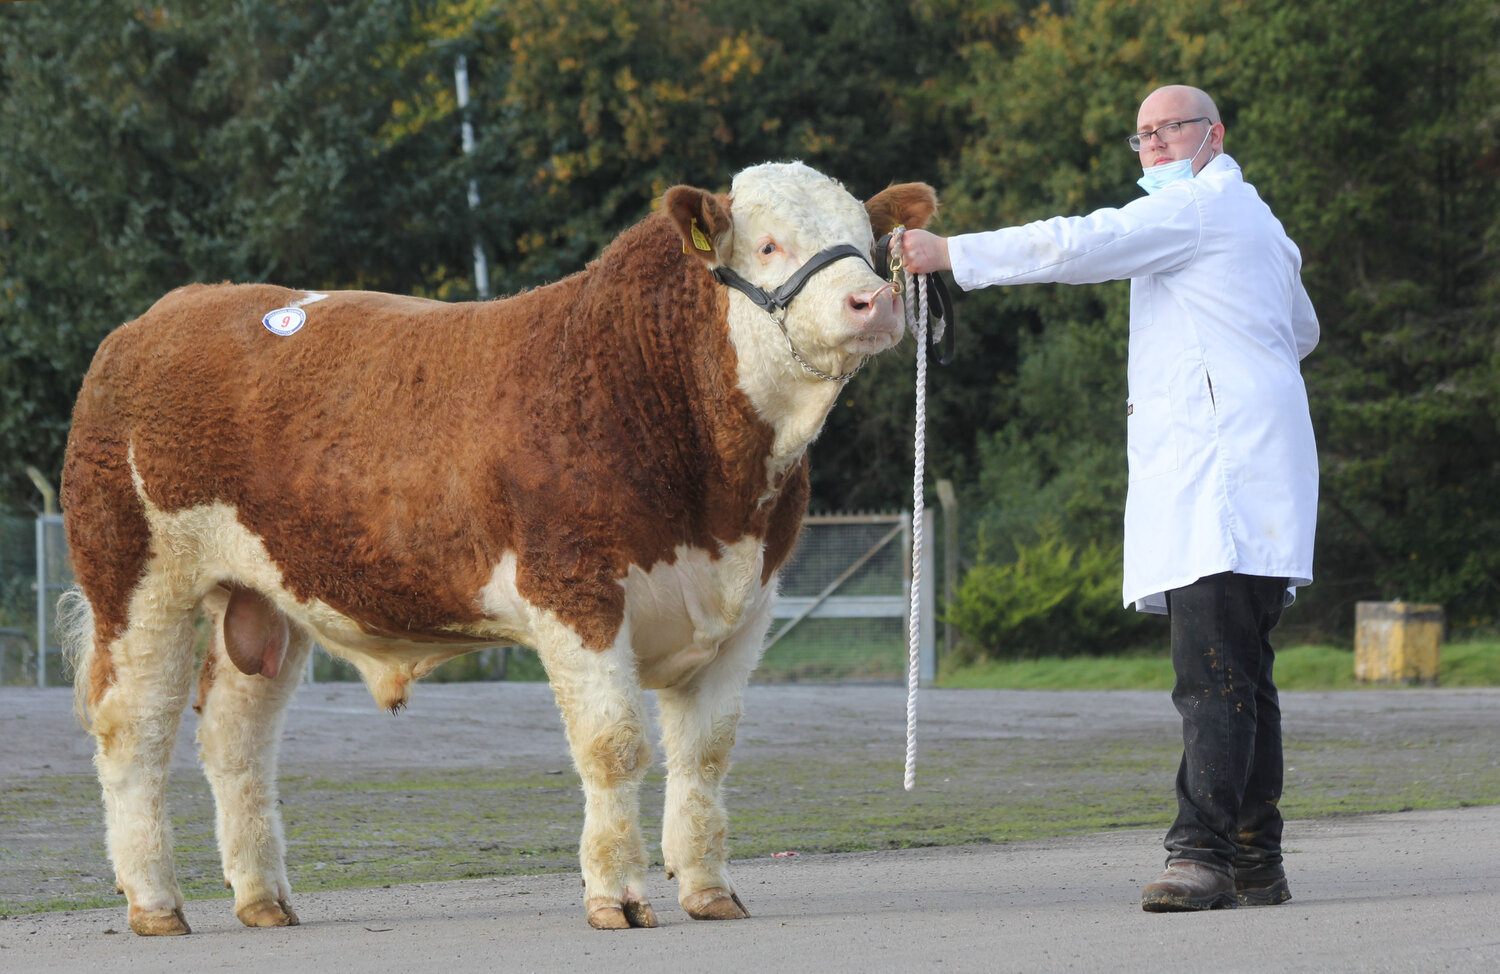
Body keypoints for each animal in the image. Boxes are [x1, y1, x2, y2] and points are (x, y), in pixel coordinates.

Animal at [61, 161, 936, 936]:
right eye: (768, 245)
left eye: (867, 237)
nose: (875, 299)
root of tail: (159, 318)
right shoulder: (575, 590)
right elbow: (614, 746)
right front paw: (617, 897)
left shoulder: (748, 601)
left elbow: (707, 754)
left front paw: (710, 891)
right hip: (136, 578)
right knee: (134, 731)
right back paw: (155, 903)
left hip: (263, 598)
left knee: (235, 740)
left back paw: (264, 900)